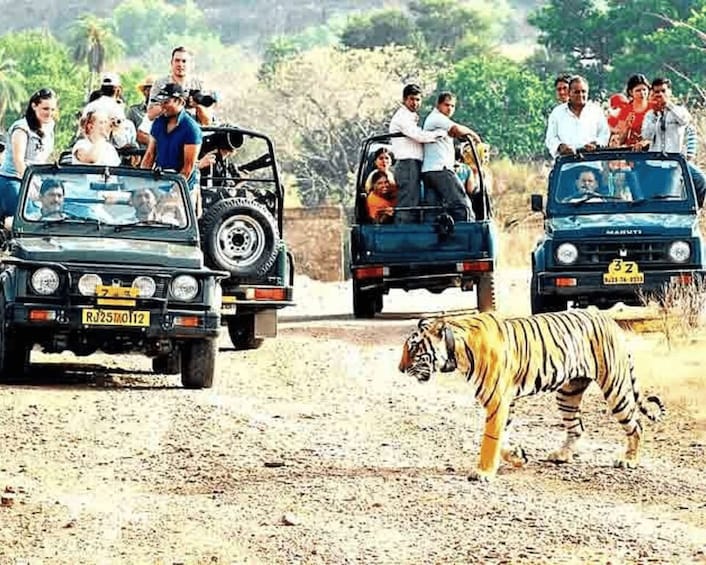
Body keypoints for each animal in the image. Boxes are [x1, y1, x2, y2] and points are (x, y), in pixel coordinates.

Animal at [398, 308, 664, 480]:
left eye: (413, 348)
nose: (400, 369)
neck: (457, 349)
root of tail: (609, 319)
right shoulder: (506, 402)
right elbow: (502, 439)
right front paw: (518, 456)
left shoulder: (497, 400)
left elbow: (490, 439)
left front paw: (483, 472)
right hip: (568, 393)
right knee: (577, 427)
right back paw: (561, 455)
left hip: (615, 387)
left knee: (636, 425)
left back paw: (628, 460)